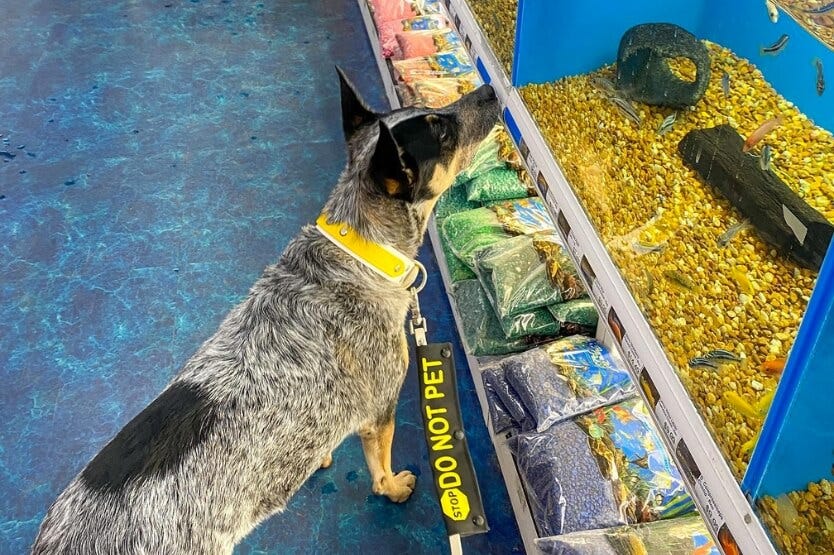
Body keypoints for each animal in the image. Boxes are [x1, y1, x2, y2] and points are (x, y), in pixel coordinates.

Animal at [32, 70, 498, 555]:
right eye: (441, 131)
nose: (491, 89)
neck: (358, 250)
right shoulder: (380, 411)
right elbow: (380, 467)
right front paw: (391, 487)